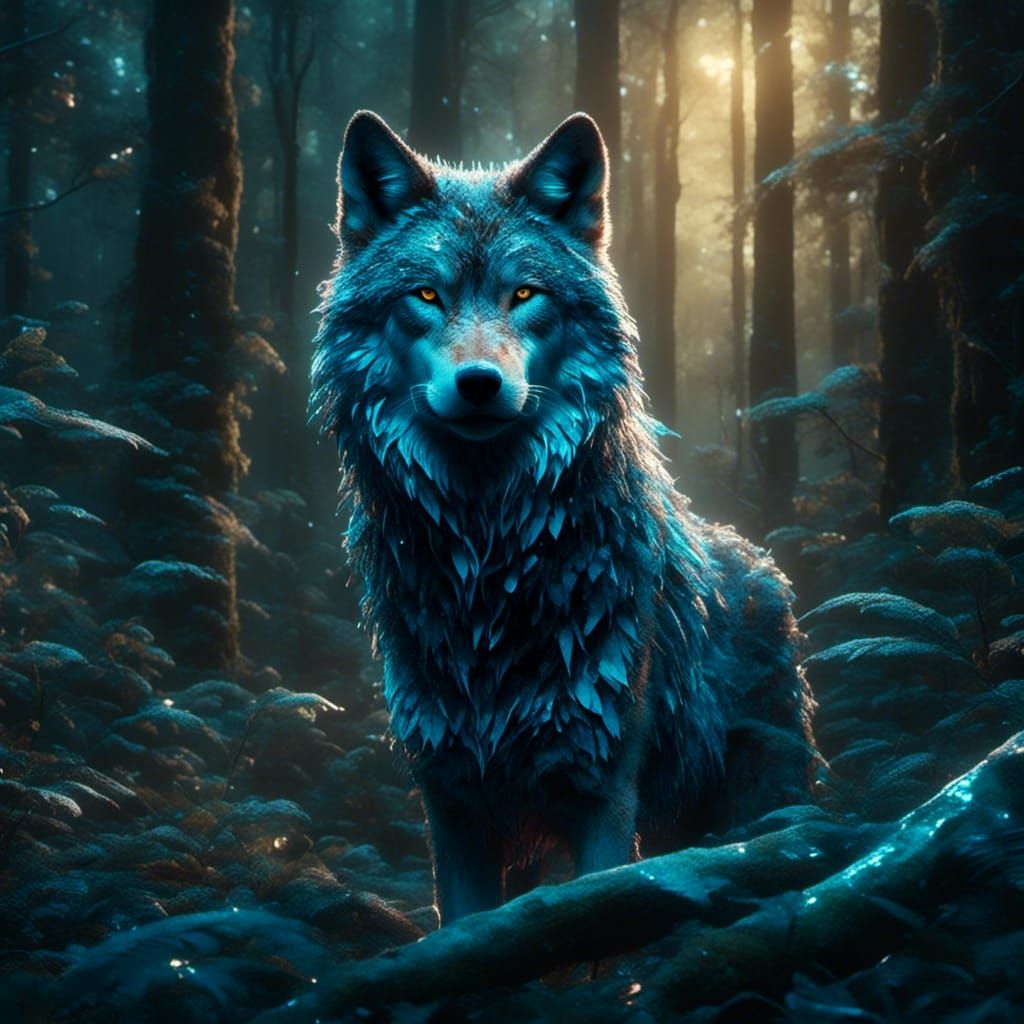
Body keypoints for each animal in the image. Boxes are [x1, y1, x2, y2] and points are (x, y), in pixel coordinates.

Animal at [311, 110, 815, 924]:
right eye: (426, 295)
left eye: (524, 293)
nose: (479, 383)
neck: (489, 563)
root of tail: (761, 562)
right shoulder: (452, 806)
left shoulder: (602, 792)